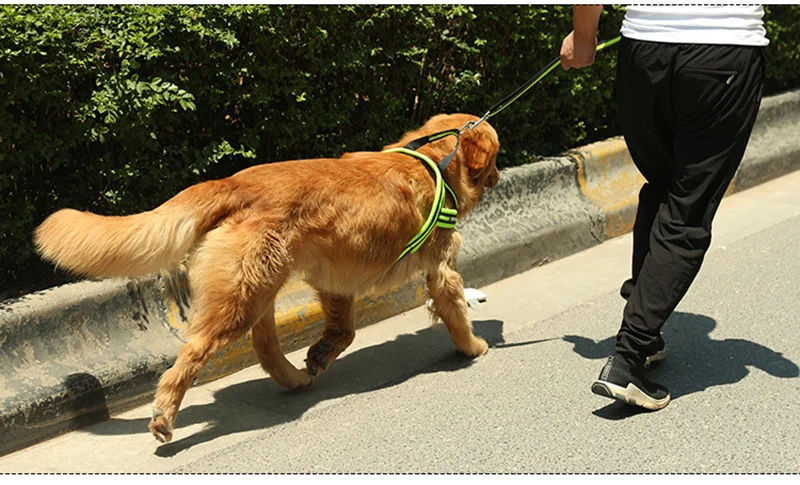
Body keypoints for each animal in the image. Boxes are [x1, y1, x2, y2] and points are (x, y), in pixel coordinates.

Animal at [37, 111, 504, 440]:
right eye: (497, 156)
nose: (500, 176)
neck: (433, 160)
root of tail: (231, 182)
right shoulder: (441, 269)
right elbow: (455, 311)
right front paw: (472, 346)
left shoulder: (336, 278)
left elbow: (344, 330)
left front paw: (322, 352)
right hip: (242, 298)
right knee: (194, 352)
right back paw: (164, 415)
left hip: (259, 285)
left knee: (264, 345)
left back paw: (294, 377)